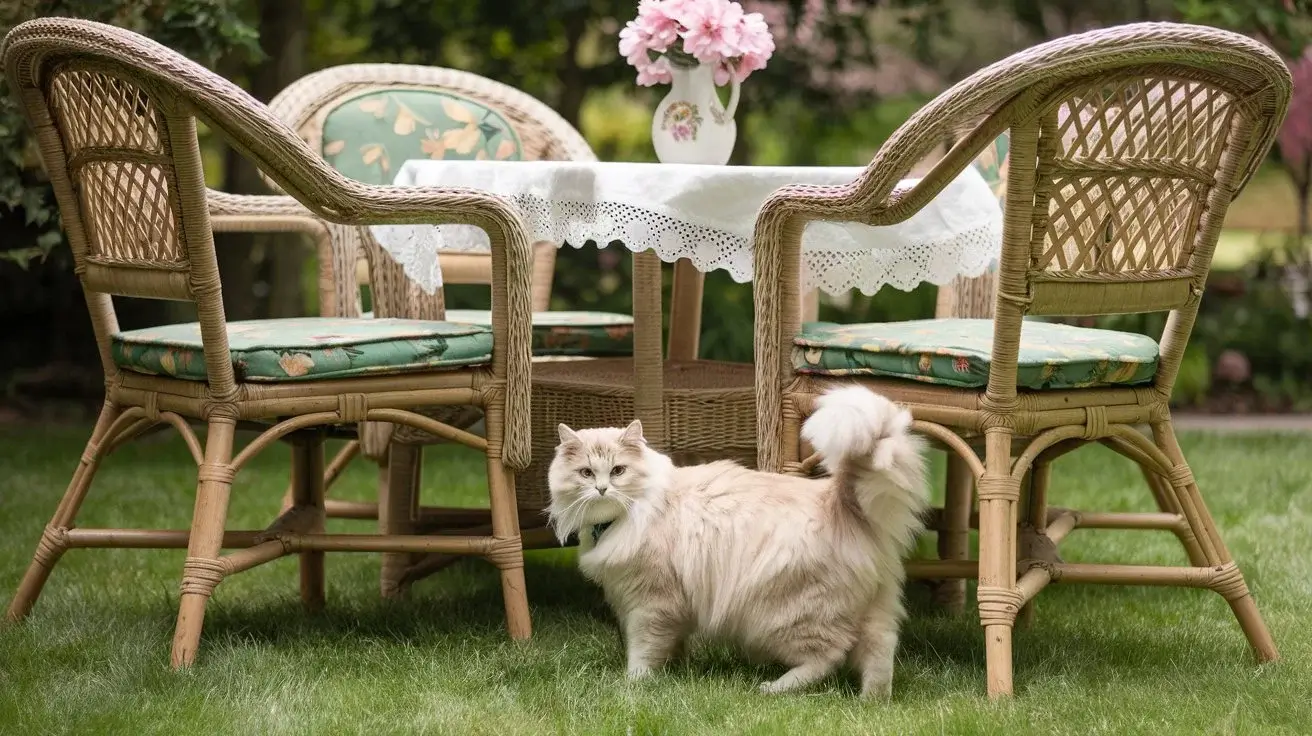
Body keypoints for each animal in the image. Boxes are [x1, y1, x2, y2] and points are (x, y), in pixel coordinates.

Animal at [548, 385, 928, 692]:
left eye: (618, 471)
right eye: (586, 473)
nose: (601, 489)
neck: (624, 517)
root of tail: (837, 499)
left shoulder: (650, 604)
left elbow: (642, 651)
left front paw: (634, 683)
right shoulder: (661, 607)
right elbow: (671, 647)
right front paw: (673, 671)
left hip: (785, 616)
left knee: (829, 656)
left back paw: (777, 688)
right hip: (870, 609)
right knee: (880, 651)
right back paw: (872, 700)